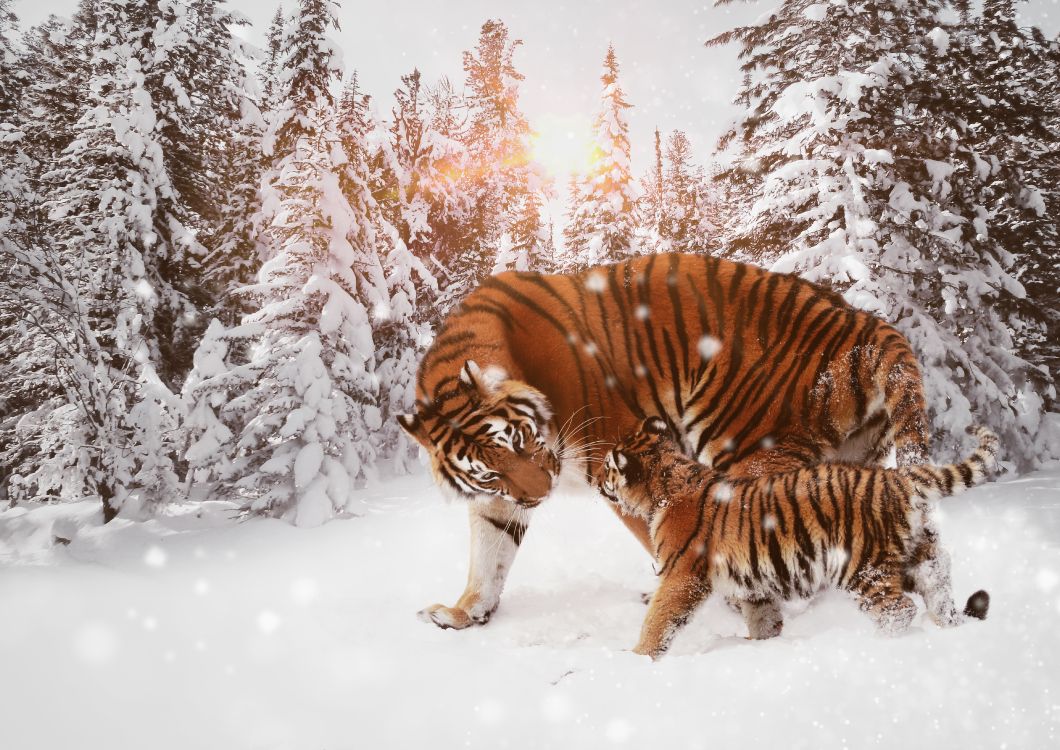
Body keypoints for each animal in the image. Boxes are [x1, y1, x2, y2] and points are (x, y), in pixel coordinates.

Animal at [396, 252, 928, 631]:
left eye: (522, 440)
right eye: (489, 471)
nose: (542, 494)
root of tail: (862, 322)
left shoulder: (612, 453)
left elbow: (655, 533)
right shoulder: (501, 498)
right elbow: (489, 554)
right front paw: (464, 613)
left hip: (743, 444)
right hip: (851, 460)